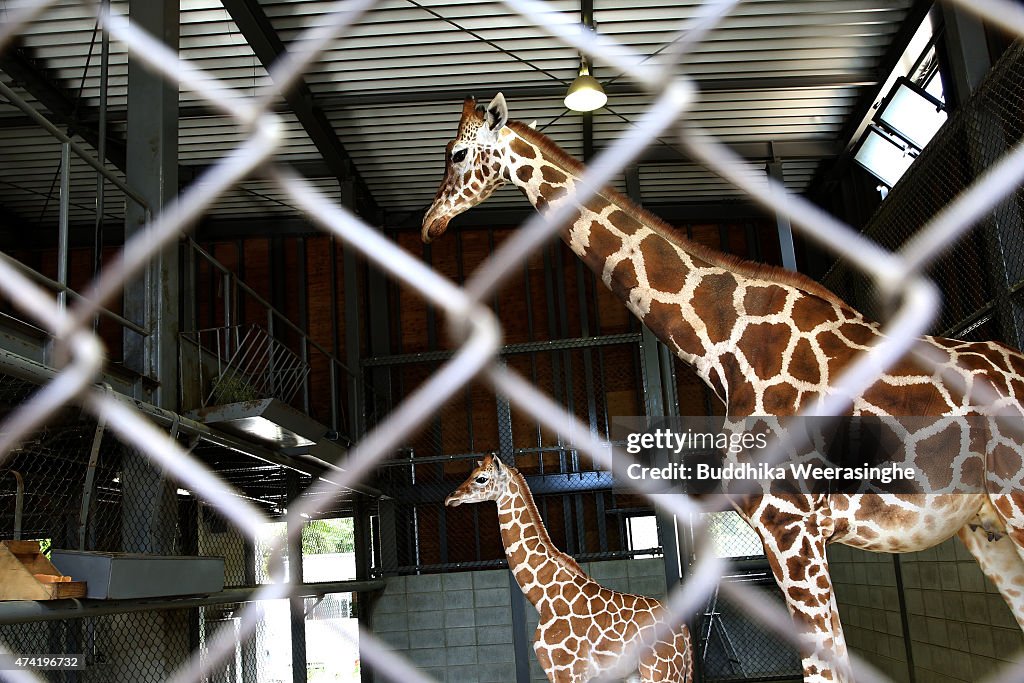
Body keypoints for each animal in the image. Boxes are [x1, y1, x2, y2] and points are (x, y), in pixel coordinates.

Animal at [446, 454, 692, 683]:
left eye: (481, 478)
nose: (451, 498)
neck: (544, 598)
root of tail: (684, 630)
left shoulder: (566, 671)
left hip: (660, 670)